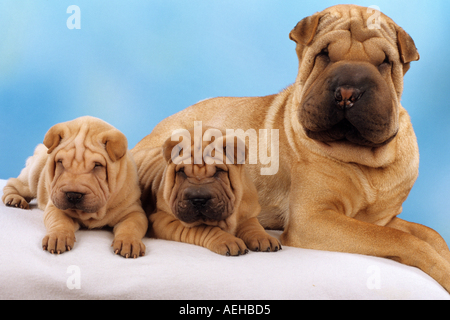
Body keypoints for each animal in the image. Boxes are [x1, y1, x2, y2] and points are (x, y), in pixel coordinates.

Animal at [2, 116, 149, 258]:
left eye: (97, 165)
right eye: (60, 162)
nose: (73, 195)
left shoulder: (133, 211)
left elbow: (131, 226)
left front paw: (129, 242)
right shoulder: (56, 206)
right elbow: (60, 222)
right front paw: (57, 237)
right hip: (33, 175)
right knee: (15, 183)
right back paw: (15, 199)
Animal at [131, 126, 282, 256]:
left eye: (219, 171)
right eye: (181, 172)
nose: (198, 199)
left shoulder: (248, 212)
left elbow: (252, 226)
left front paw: (264, 238)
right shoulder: (163, 219)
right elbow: (205, 228)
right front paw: (228, 240)